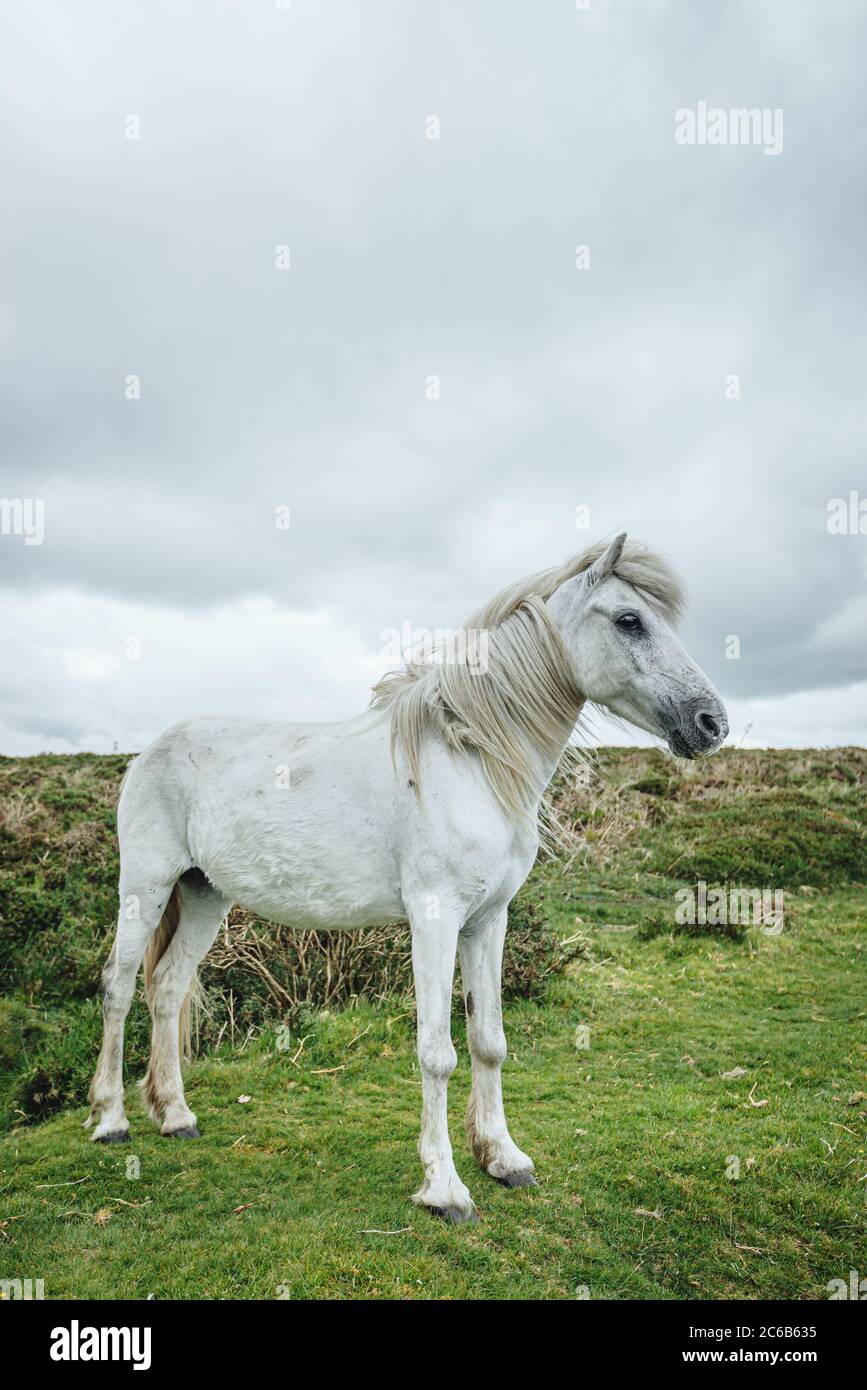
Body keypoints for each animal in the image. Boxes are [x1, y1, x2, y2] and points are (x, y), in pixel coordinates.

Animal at [87, 533, 728, 1223]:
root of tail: (152, 750)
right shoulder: (434, 918)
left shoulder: (488, 921)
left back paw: (176, 1116)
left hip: (205, 893)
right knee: (120, 986)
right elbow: (437, 1053)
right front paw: (445, 1188)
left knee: (168, 987)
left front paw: (504, 1158)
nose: (711, 722)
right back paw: (112, 1119)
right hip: (146, 887)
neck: (470, 760)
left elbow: (488, 1040)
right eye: (629, 619)